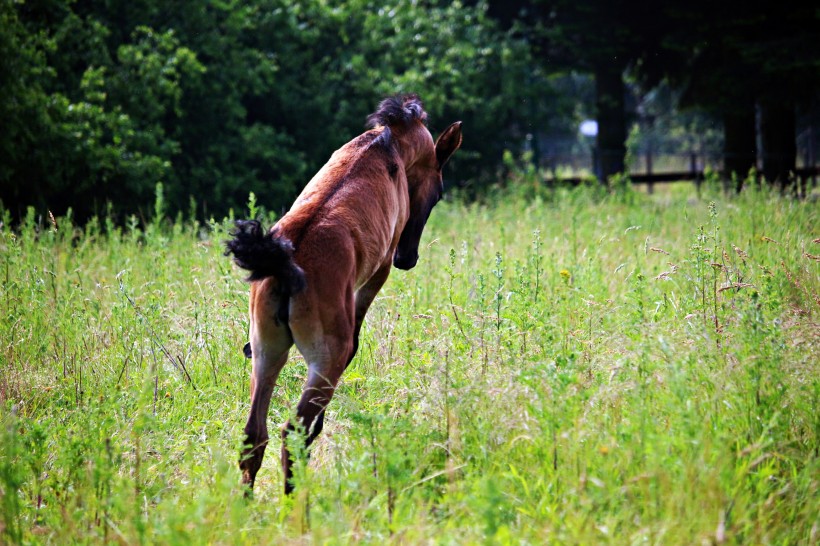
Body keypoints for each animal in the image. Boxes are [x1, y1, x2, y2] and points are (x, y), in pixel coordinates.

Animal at [226, 94, 462, 492]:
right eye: (439, 191)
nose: (408, 258)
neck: (386, 145)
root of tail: (284, 264)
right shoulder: (375, 275)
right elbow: (357, 339)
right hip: (323, 361)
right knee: (292, 433)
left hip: (266, 353)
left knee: (254, 437)